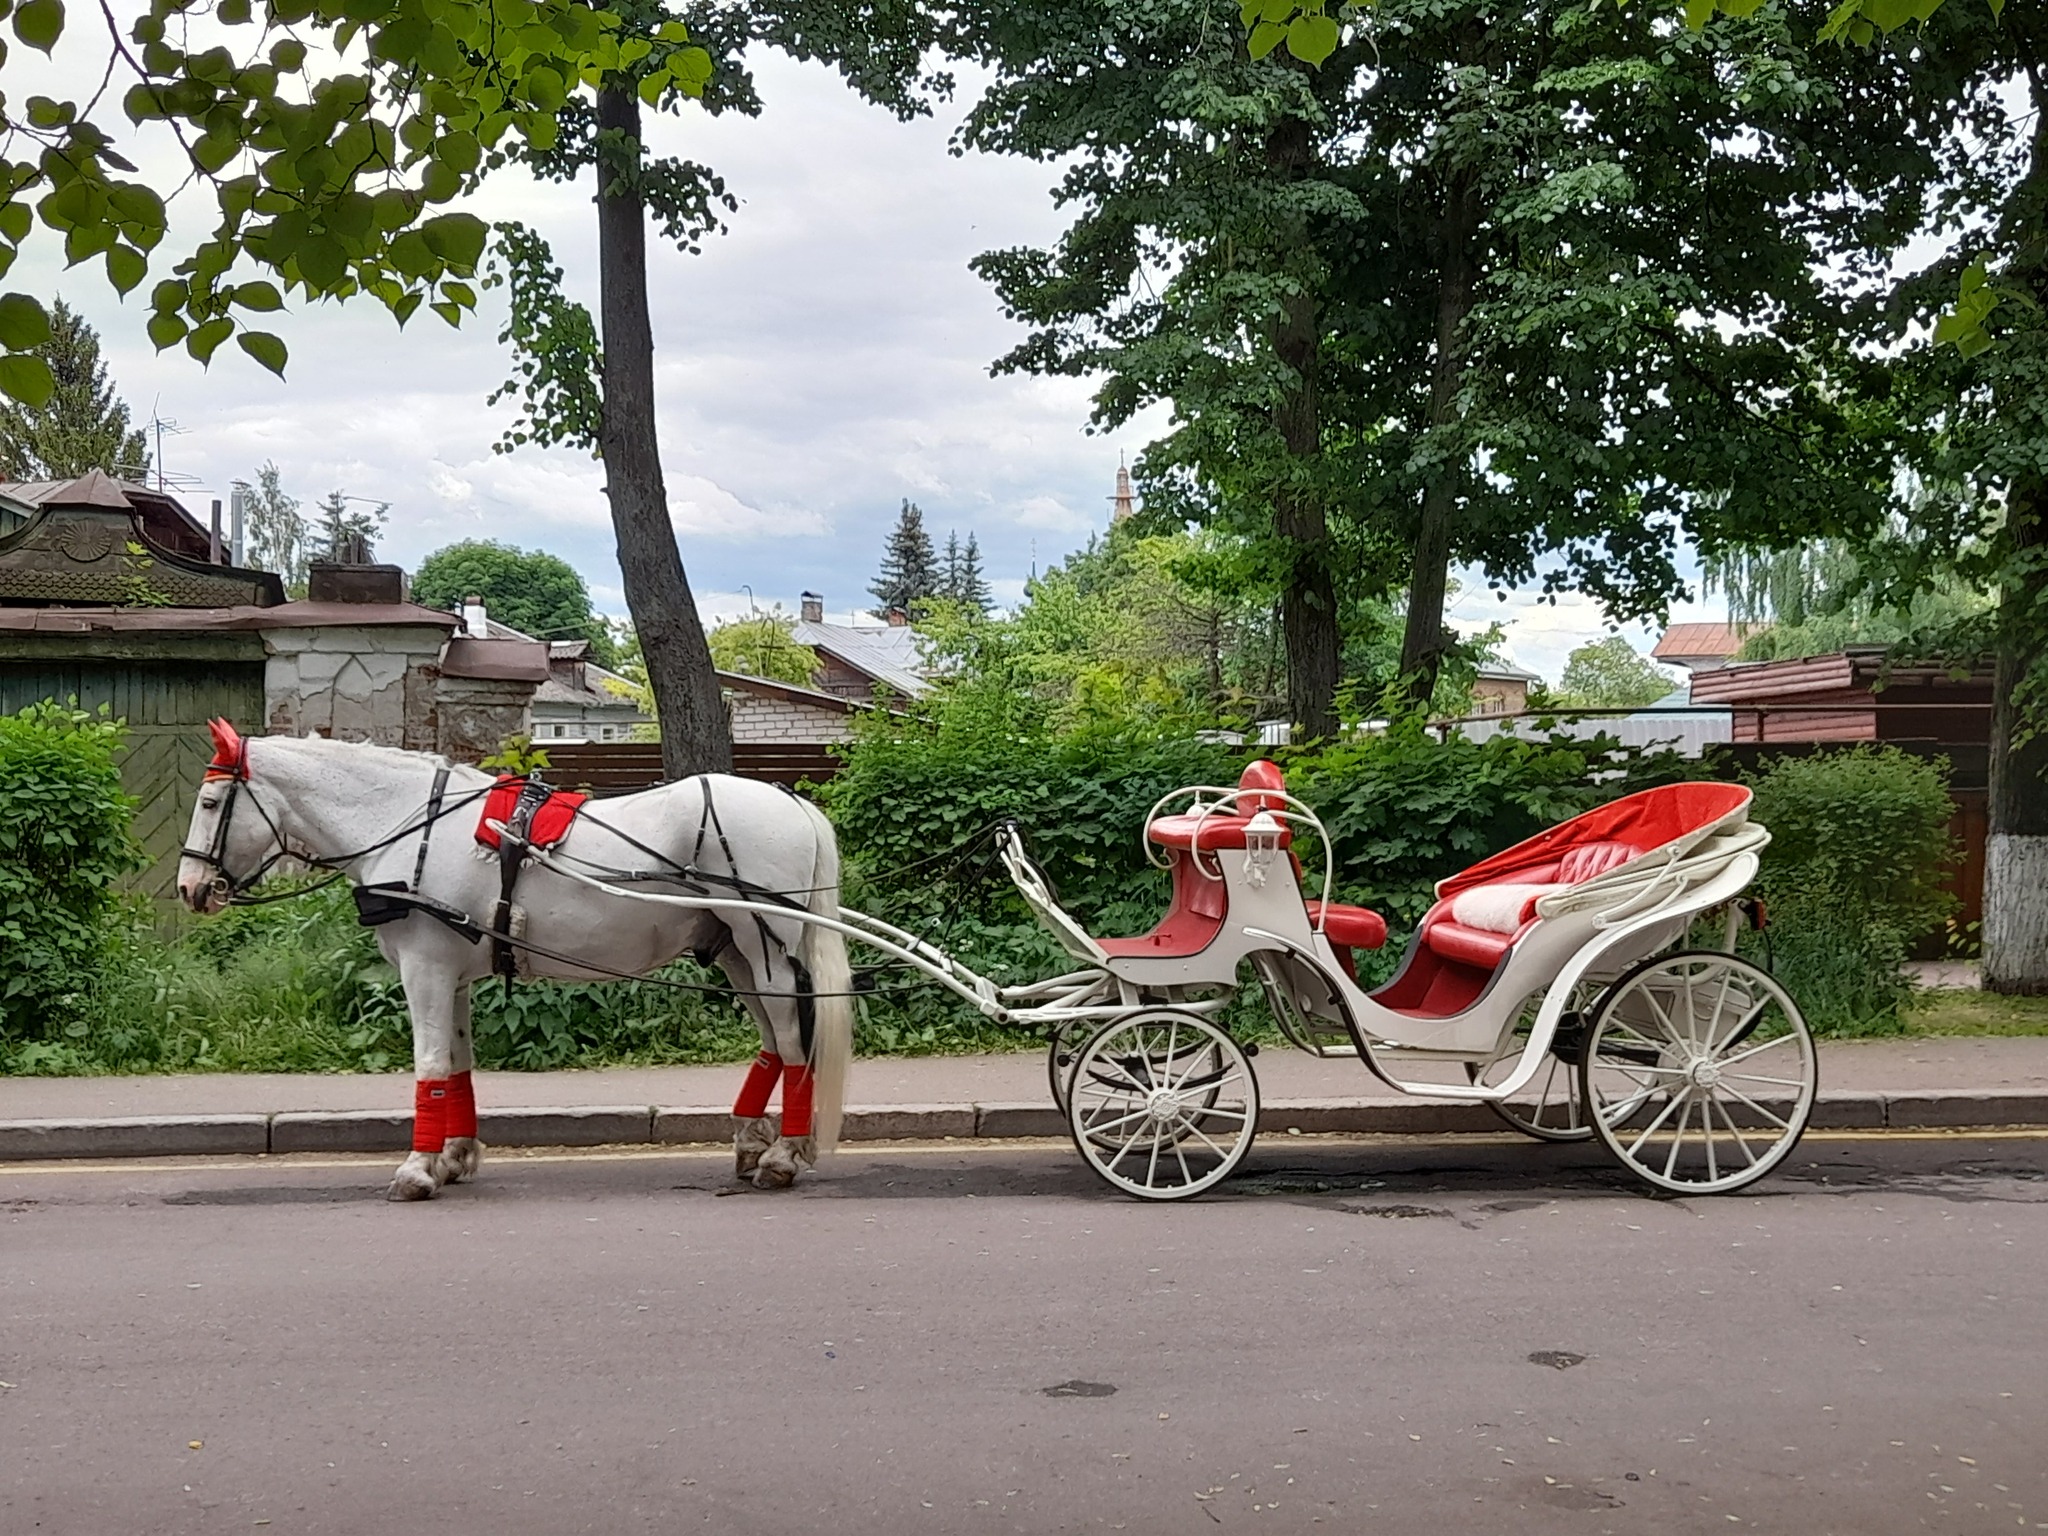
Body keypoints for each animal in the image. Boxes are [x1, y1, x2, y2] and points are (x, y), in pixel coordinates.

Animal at [172, 729, 851, 1212]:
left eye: (209, 800)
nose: (189, 888)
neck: (413, 827)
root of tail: (793, 801)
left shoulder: (425, 968)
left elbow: (428, 1064)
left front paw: (416, 1170)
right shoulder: (452, 973)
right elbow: (457, 1067)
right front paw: (453, 1157)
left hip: (764, 946)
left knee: (794, 1043)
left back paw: (783, 1157)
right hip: (738, 951)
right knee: (774, 1041)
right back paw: (754, 1142)